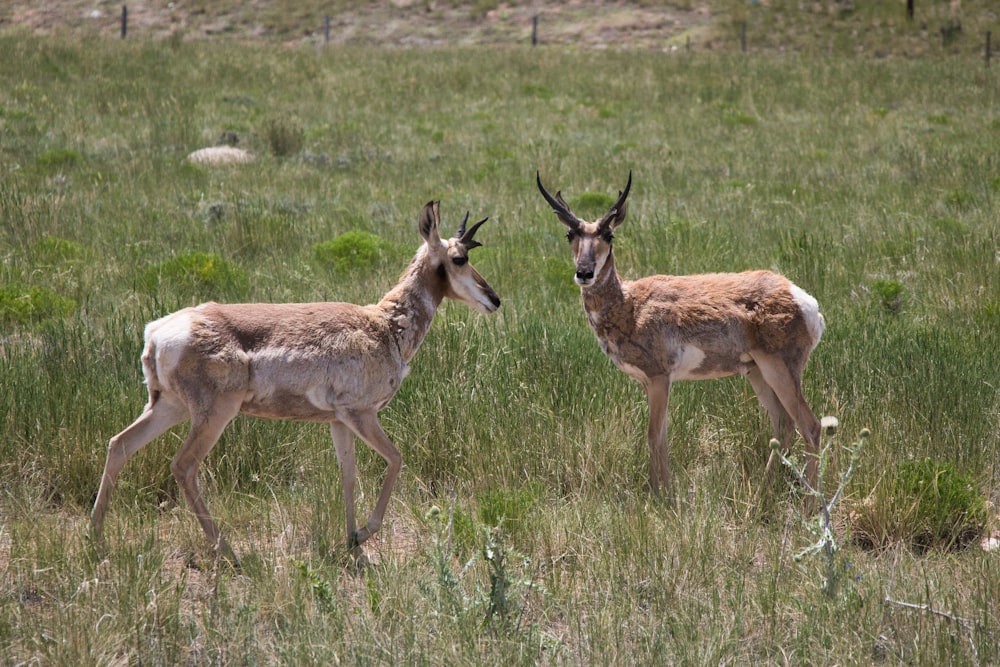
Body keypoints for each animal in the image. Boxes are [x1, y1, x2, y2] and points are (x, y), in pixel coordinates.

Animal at [92, 200, 500, 564]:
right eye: (459, 258)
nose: (494, 298)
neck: (383, 324)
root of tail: (157, 331)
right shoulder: (362, 413)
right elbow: (397, 459)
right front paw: (363, 533)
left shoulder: (339, 421)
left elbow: (349, 475)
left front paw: (352, 543)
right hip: (213, 415)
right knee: (183, 466)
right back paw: (229, 552)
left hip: (168, 407)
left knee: (120, 444)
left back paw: (96, 536)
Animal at [540, 172, 828, 500]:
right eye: (570, 235)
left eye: (608, 235)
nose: (584, 273)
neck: (630, 304)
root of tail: (802, 298)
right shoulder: (651, 382)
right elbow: (661, 436)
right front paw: (663, 492)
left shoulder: (659, 378)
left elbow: (653, 436)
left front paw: (660, 497)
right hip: (756, 372)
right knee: (783, 425)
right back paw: (759, 497)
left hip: (779, 369)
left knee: (811, 426)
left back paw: (809, 505)